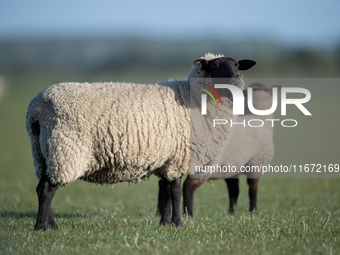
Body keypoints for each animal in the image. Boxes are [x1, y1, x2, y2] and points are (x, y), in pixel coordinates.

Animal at [25, 53, 255, 229]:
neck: (192, 98)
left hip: (42, 153)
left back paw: (50, 224)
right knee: (47, 189)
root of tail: (37, 108)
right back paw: (42, 227)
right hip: (64, 150)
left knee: (41, 187)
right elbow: (175, 192)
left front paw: (165, 223)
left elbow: (166, 193)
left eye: (236, 66)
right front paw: (178, 224)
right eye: (214, 66)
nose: (235, 85)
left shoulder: (166, 159)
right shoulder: (177, 158)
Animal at [179, 83, 280, 215]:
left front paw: (232, 211)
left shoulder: (231, 169)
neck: (259, 120)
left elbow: (234, 191)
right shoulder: (257, 165)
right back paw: (188, 214)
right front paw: (253, 211)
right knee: (188, 186)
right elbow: (252, 190)